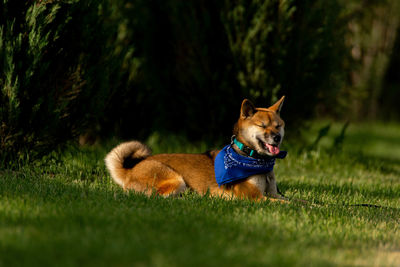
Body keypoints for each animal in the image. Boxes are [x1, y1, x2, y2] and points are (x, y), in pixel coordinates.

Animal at [105, 97, 288, 202]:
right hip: (175, 179)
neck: (254, 160)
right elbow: (286, 204)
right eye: (262, 126)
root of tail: (130, 170)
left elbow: (291, 199)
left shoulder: (274, 194)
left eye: (278, 126)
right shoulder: (253, 196)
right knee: (155, 198)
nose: (277, 138)